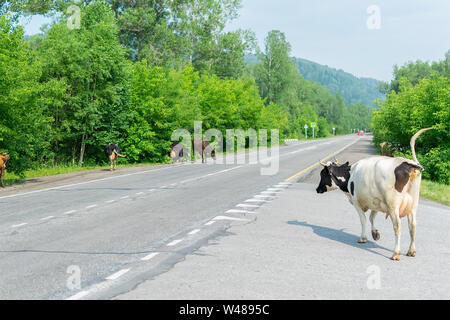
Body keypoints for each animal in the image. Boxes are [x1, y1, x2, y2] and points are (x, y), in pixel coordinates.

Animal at [314, 127, 434, 260]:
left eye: (322, 174)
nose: (317, 189)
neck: (351, 174)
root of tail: (409, 163)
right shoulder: (376, 201)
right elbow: (372, 217)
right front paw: (375, 233)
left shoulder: (356, 201)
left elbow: (363, 219)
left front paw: (363, 238)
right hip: (413, 204)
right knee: (413, 225)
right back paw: (411, 251)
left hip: (393, 205)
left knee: (397, 225)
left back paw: (396, 253)